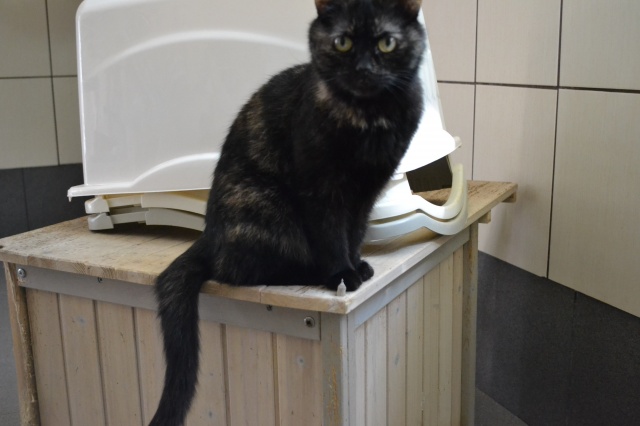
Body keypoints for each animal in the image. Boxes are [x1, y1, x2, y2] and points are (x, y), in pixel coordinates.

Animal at [150, 0, 426, 424]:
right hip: (267, 207)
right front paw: (342, 273)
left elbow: (355, 231)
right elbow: (332, 234)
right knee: (240, 270)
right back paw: (316, 273)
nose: (364, 68)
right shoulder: (321, 188)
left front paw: (357, 264)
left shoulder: (368, 190)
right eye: (343, 43)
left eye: (387, 42)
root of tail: (208, 236)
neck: (367, 118)